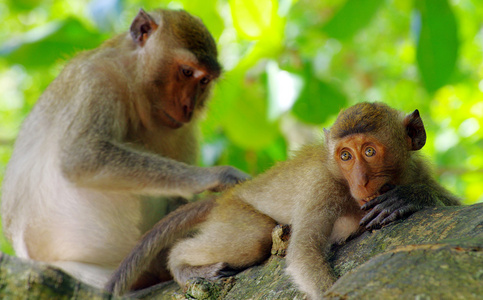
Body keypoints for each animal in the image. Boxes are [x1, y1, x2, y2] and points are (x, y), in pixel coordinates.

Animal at [0, 8, 250, 288]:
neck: (133, 82)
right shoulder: (98, 79)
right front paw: (218, 176)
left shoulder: (182, 129)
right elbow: (83, 157)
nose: (189, 106)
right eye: (186, 72)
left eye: (204, 80)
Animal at [107, 102, 462, 298]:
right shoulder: (323, 185)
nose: (361, 181)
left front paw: (408, 198)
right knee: (251, 238)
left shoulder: (416, 168)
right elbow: (303, 252)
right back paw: (182, 266)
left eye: (370, 151)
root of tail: (230, 193)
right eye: (345, 156)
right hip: (235, 215)